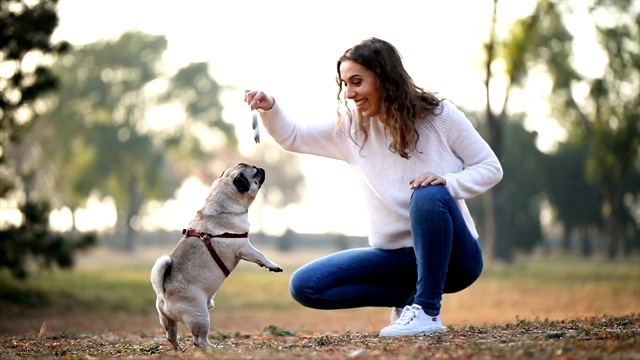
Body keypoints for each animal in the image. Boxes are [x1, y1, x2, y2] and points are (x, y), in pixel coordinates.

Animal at [150, 164, 282, 352]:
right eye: (256, 173)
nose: (261, 168)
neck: (222, 204)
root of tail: (165, 293)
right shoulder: (244, 247)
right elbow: (260, 255)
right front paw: (273, 265)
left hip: (168, 320)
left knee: (171, 336)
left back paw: (179, 349)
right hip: (200, 316)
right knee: (198, 339)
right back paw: (212, 348)